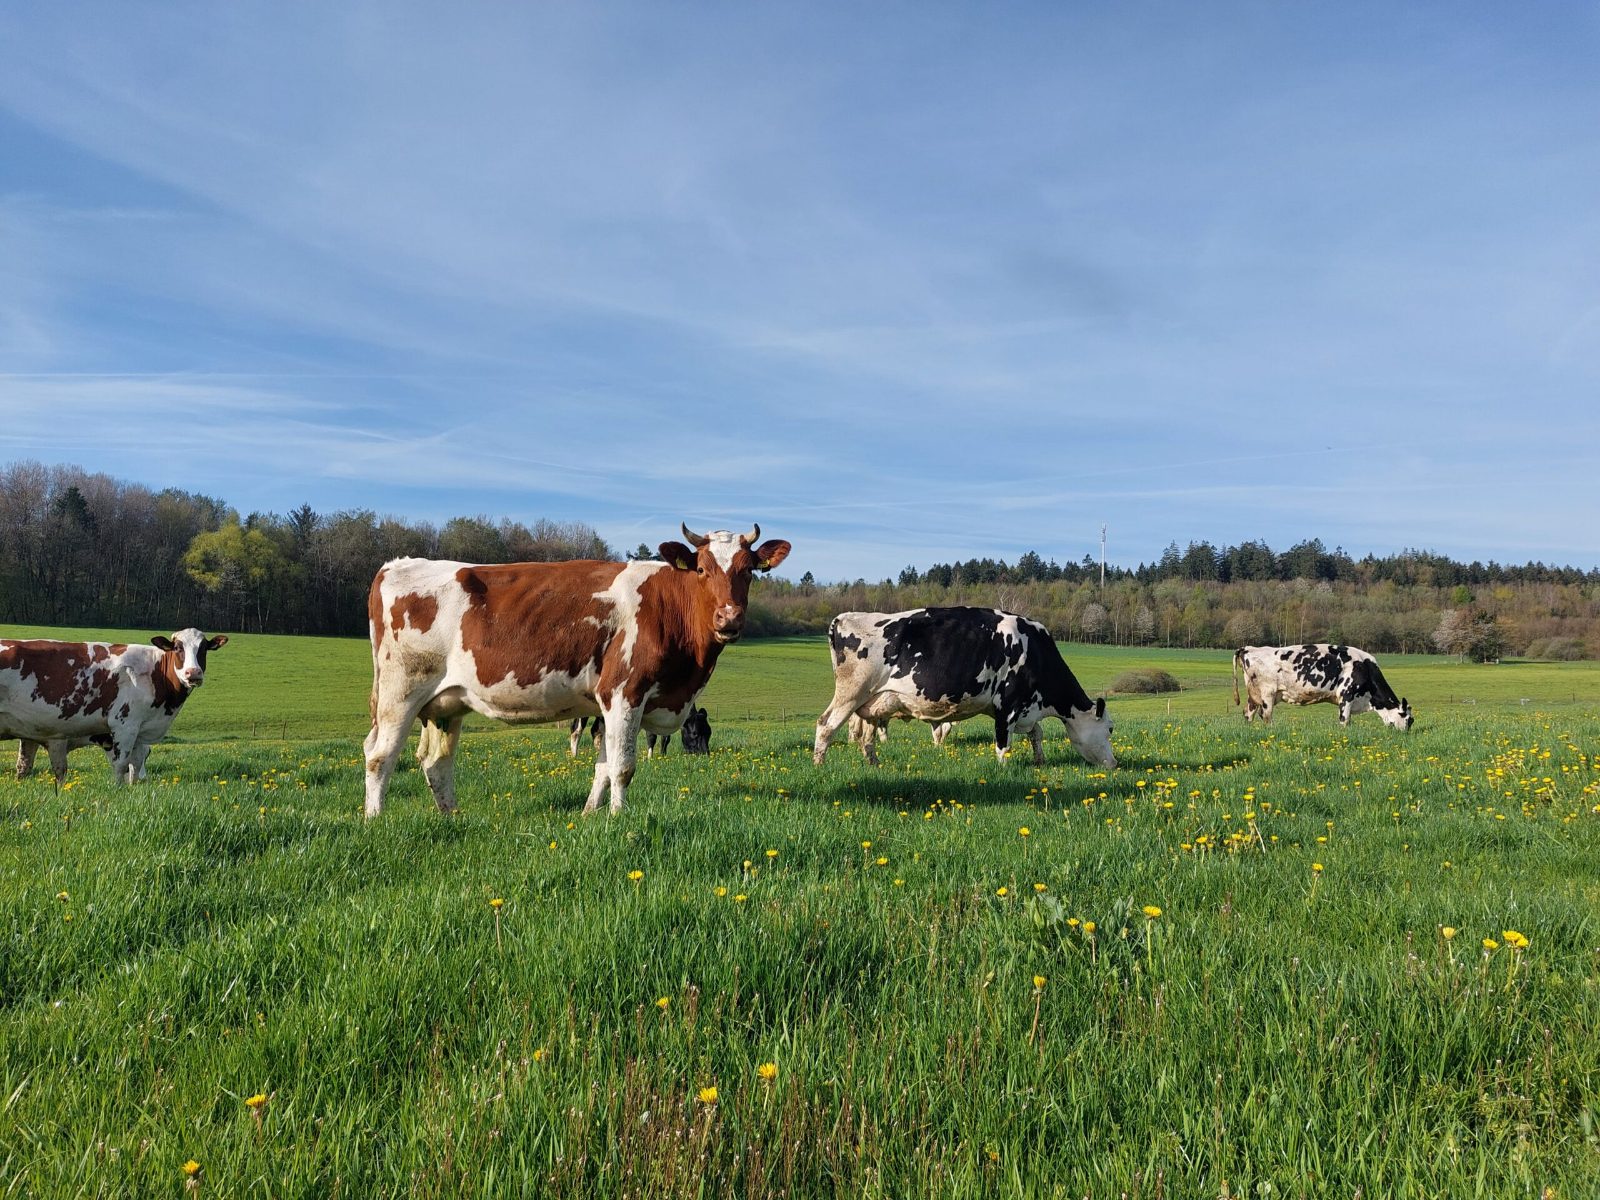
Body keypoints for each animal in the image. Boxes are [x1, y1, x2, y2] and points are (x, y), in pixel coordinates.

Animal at [0, 631, 227, 784]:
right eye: (178, 647)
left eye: (204, 648)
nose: (193, 673)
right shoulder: (125, 725)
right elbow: (121, 765)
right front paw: (117, 791)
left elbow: (135, 763)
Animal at [365, 522, 788, 817]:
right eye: (701, 569)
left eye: (749, 570)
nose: (729, 618)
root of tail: (395, 565)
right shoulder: (624, 692)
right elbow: (622, 767)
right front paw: (619, 818)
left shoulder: (611, 704)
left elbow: (603, 766)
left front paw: (589, 815)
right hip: (400, 692)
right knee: (379, 755)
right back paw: (375, 819)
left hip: (445, 703)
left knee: (436, 762)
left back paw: (452, 817)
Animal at [814, 607, 1115, 768]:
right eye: (1111, 729)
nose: (1115, 764)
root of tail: (845, 617)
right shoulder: (1007, 705)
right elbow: (1003, 744)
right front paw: (1004, 771)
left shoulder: (1025, 708)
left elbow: (1037, 733)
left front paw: (1039, 761)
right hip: (851, 693)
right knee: (826, 725)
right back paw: (819, 766)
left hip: (873, 703)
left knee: (867, 736)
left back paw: (875, 765)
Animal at [1232, 644, 1413, 730]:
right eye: (1409, 720)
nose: (1405, 735)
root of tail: (1249, 648)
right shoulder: (1346, 695)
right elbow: (1345, 721)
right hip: (1267, 693)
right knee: (1266, 716)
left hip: (1253, 694)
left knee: (1248, 713)